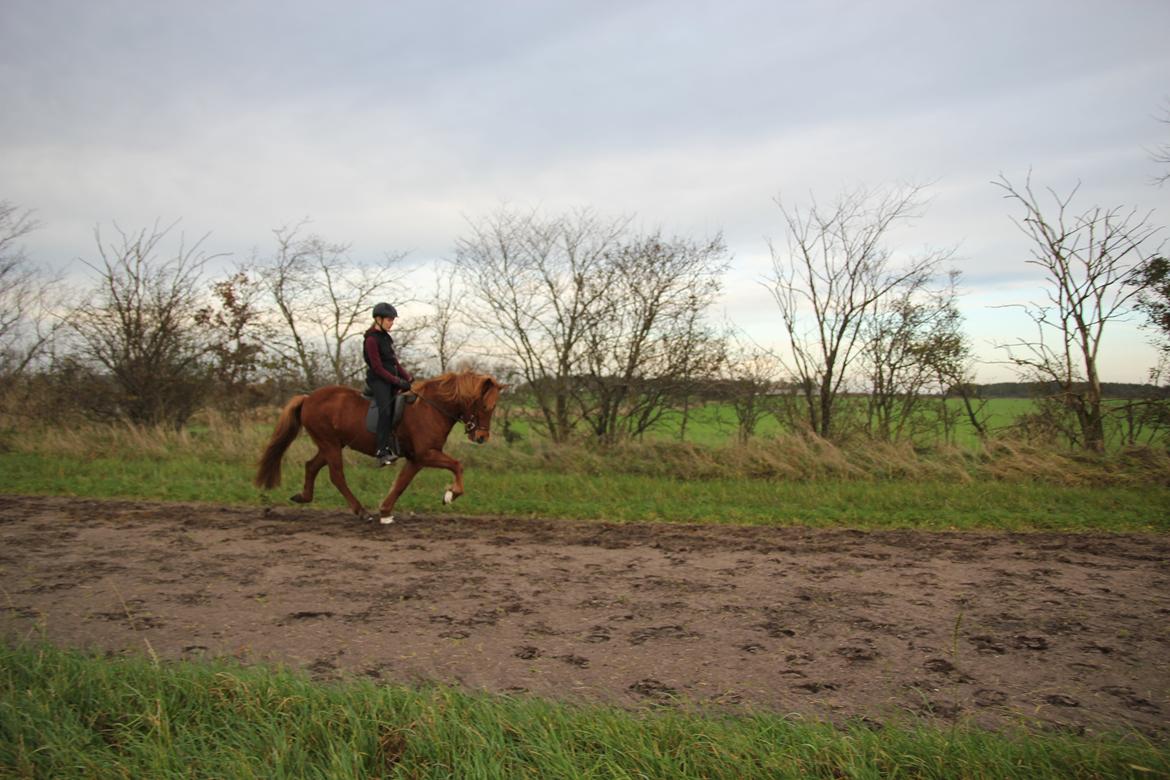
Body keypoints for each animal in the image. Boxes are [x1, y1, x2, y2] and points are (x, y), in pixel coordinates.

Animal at [253, 371, 500, 523]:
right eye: (485, 406)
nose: (481, 437)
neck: (432, 408)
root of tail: (307, 398)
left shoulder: (416, 459)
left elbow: (401, 484)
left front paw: (385, 511)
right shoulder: (426, 454)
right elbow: (457, 465)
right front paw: (451, 495)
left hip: (331, 444)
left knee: (311, 466)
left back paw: (303, 497)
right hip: (330, 444)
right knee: (336, 476)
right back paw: (361, 511)